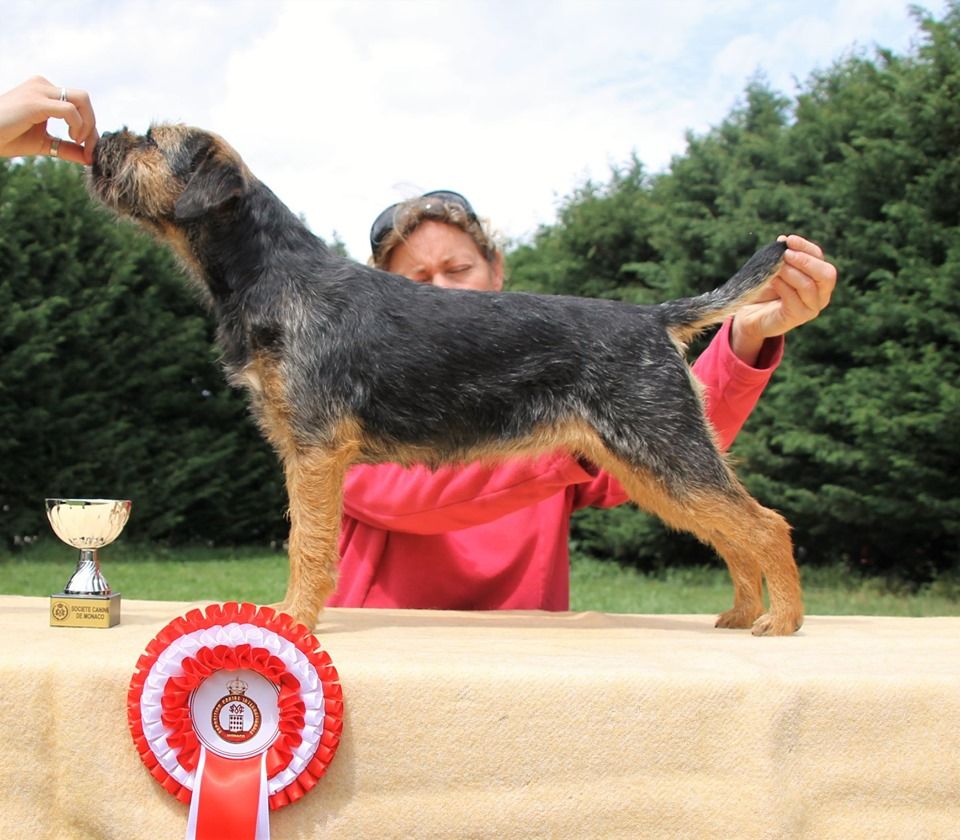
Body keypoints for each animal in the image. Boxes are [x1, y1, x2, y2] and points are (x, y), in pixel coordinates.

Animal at [88, 124, 804, 632]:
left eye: (152, 139)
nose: (100, 137)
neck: (270, 273)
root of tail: (655, 317)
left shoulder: (317, 449)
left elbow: (308, 543)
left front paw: (292, 621)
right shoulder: (302, 449)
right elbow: (307, 537)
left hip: (664, 448)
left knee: (765, 524)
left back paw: (783, 621)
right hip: (648, 465)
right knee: (732, 533)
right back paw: (743, 613)